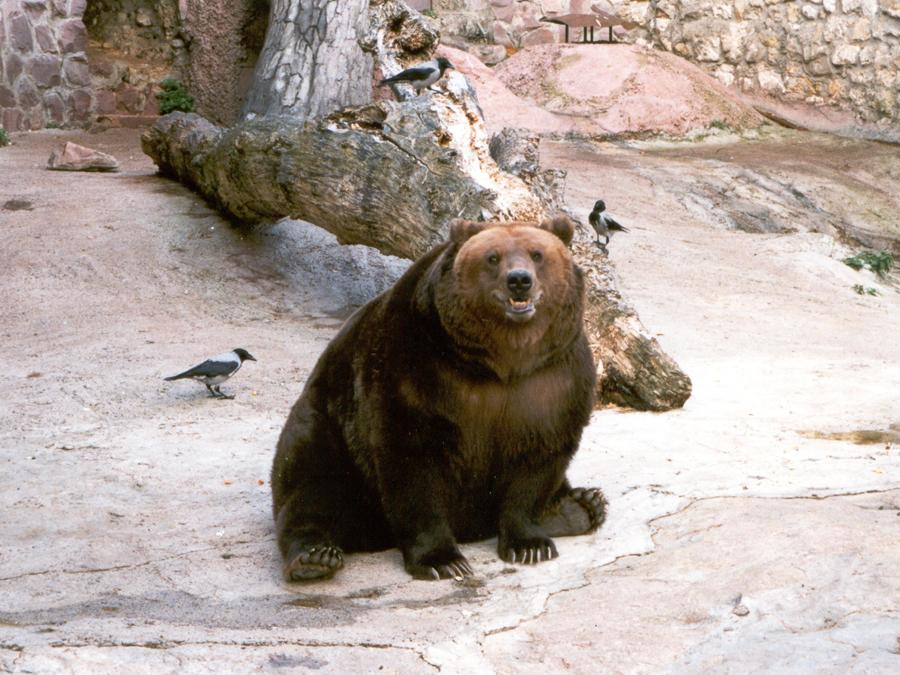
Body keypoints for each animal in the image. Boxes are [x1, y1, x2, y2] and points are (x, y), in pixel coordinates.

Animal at [271, 215, 606, 581]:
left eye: (537, 254)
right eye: (493, 257)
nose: (519, 281)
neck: (501, 360)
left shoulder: (552, 378)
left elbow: (538, 456)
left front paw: (530, 544)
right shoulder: (419, 366)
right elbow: (413, 460)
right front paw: (442, 560)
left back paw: (581, 505)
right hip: (328, 427)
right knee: (314, 486)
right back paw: (315, 557)